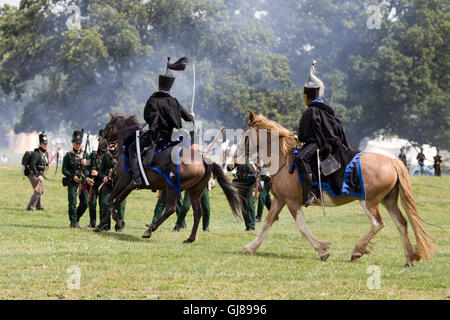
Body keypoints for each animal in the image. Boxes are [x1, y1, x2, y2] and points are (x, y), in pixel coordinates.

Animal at [96, 114, 243, 241]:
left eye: (108, 126)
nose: (101, 145)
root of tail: (202, 159)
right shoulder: (129, 186)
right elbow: (116, 202)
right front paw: (100, 226)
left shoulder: (123, 181)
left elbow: (110, 201)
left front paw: (118, 222)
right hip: (194, 191)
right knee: (197, 213)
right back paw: (190, 238)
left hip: (173, 187)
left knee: (171, 209)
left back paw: (150, 230)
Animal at [243, 111, 436, 266]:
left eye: (245, 133)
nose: (241, 154)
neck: (284, 158)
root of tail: (391, 160)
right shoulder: (280, 200)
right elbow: (267, 224)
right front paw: (250, 248)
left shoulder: (292, 202)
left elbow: (302, 227)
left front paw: (323, 250)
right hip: (388, 201)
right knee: (401, 223)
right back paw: (409, 257)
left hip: (369, 202)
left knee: (377, 223)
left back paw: (358, 250)